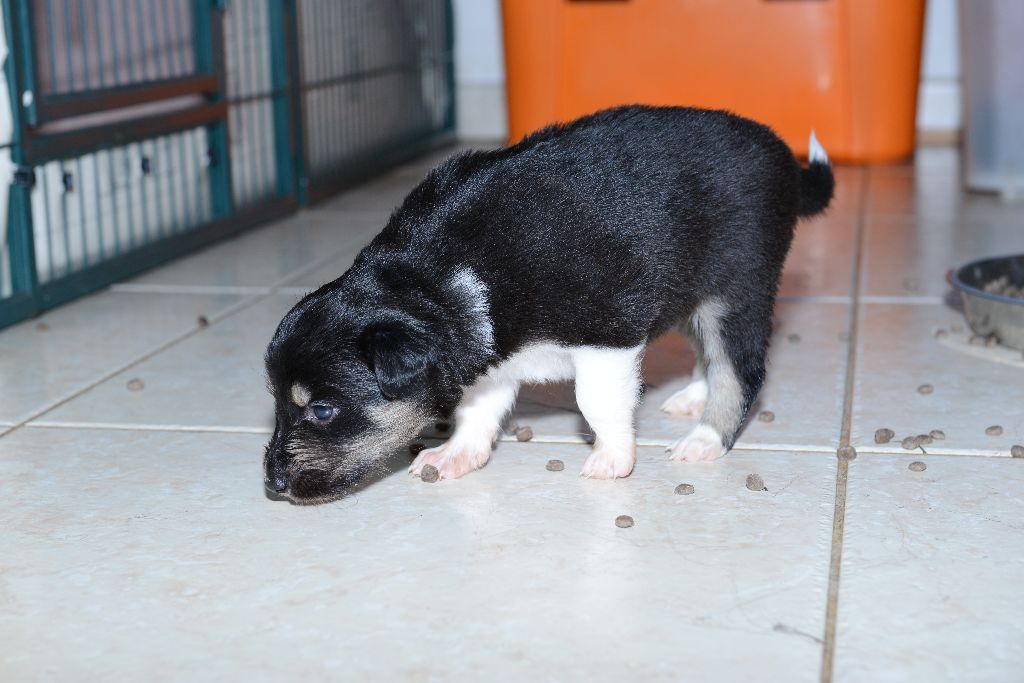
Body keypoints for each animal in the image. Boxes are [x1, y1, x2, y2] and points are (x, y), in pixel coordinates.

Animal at [262, 105, 831, 501]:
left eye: (322, 409)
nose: (272, 485)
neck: (438, 280)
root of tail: (787, 163)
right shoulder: (485, 355)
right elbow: (478, 409)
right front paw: (454, 456)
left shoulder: (607, 335)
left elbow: (596, 401)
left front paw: (612, 458)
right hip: (691, 289)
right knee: (707, 353)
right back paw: (692, 395)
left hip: (736, 288)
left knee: (740, 369)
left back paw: (705, 439)